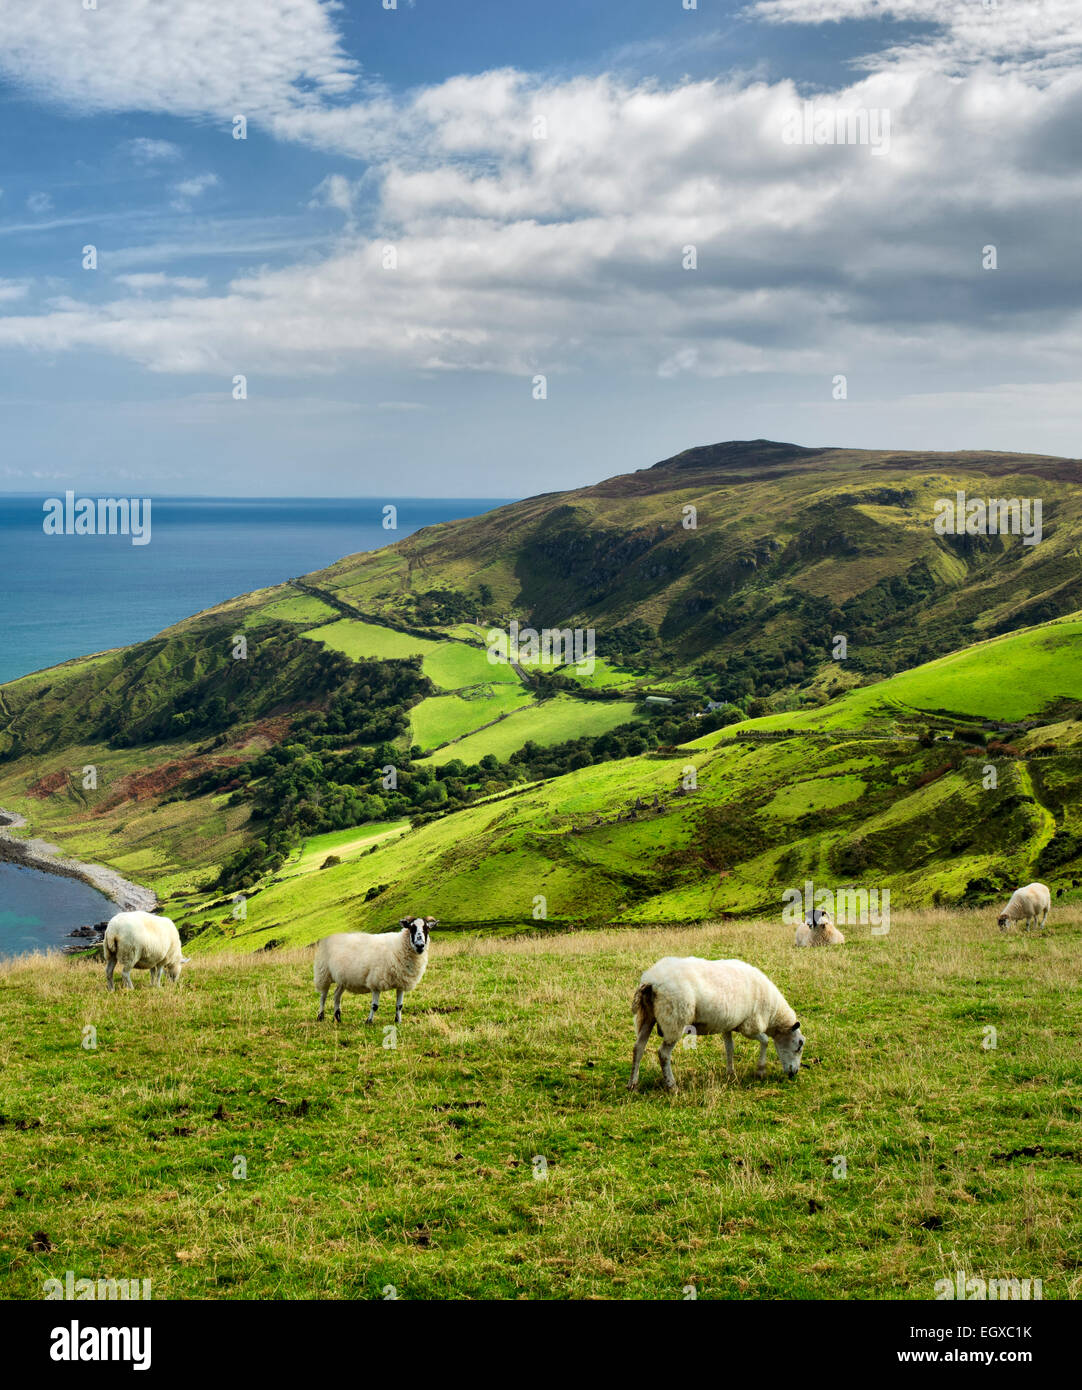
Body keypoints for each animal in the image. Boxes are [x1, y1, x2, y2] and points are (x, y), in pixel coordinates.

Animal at [623, 961, 801, 1089]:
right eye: (799, 1046)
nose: (794, 1073)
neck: (773, 1014)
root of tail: (651, 980)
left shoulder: (728, 1025)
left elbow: (730, 1048)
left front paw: (731, 1073)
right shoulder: (750, 1026)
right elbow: (765, 1040)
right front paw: (760, 1070)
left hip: (647, 1016)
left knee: (638, 1048)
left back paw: (632, 1083)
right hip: (675, 1019)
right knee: (663, 1054)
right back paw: (671, 1086)